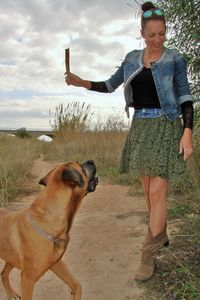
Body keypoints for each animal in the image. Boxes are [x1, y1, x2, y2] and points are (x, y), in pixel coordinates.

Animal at [0, 161, 98, 300]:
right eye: (81, 167)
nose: (91, 161)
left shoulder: (56, 263)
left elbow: (77, 286)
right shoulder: (27, 279)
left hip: (11, 257)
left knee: (3, 273)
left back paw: (11, 294)